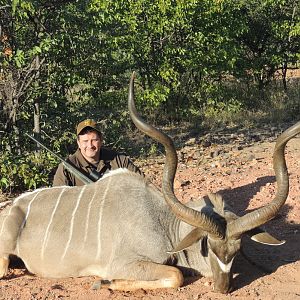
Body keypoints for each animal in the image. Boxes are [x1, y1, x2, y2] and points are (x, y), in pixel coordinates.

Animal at [0, 73, 300, 292]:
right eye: (210, 248)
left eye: (237, 250)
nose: (222, 288)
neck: (162, 221)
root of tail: (13, 206)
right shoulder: (125, 262)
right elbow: (176, 275)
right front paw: (103, 283)